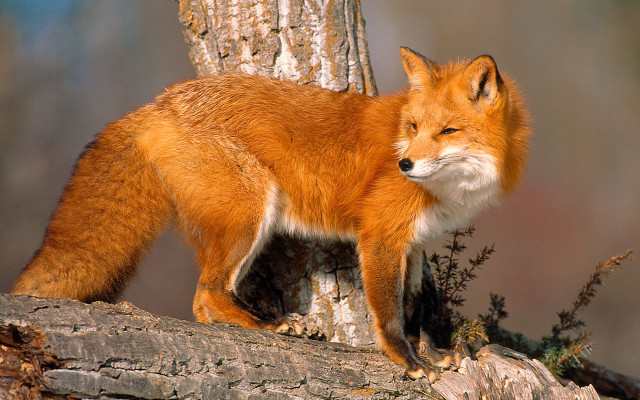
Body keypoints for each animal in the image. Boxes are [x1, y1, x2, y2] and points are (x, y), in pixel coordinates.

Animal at [12, 47, 530, 379]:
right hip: (250, 214)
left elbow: (416, 306)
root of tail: (158, 103)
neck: (453, 190)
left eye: (447, 131)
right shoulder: (381, 236)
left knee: (207, 300)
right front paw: (408, 362)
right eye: (415, 127)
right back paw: (270, 325)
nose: (404, 165)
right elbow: (389, 314)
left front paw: (432, 353)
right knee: (206, 298)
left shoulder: (416, 242)